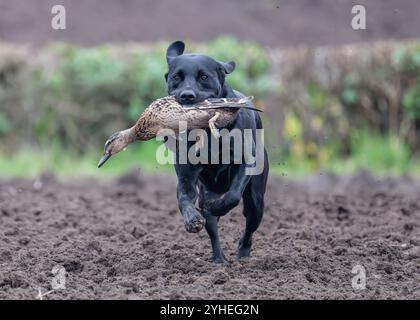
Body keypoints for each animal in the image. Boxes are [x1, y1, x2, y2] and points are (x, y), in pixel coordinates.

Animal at [165, 42, 270, 262]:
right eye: (176, 77)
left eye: (204, 76)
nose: (187, 96)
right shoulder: (186, 177)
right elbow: (184, 199)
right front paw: (192, 219)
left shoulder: (245, 162)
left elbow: (233, 196)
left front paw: (219, 205)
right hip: (207, 193)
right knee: (213, 228)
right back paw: (219, 260)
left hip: (256, 200)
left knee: (249, 226)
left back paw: (242, 254)